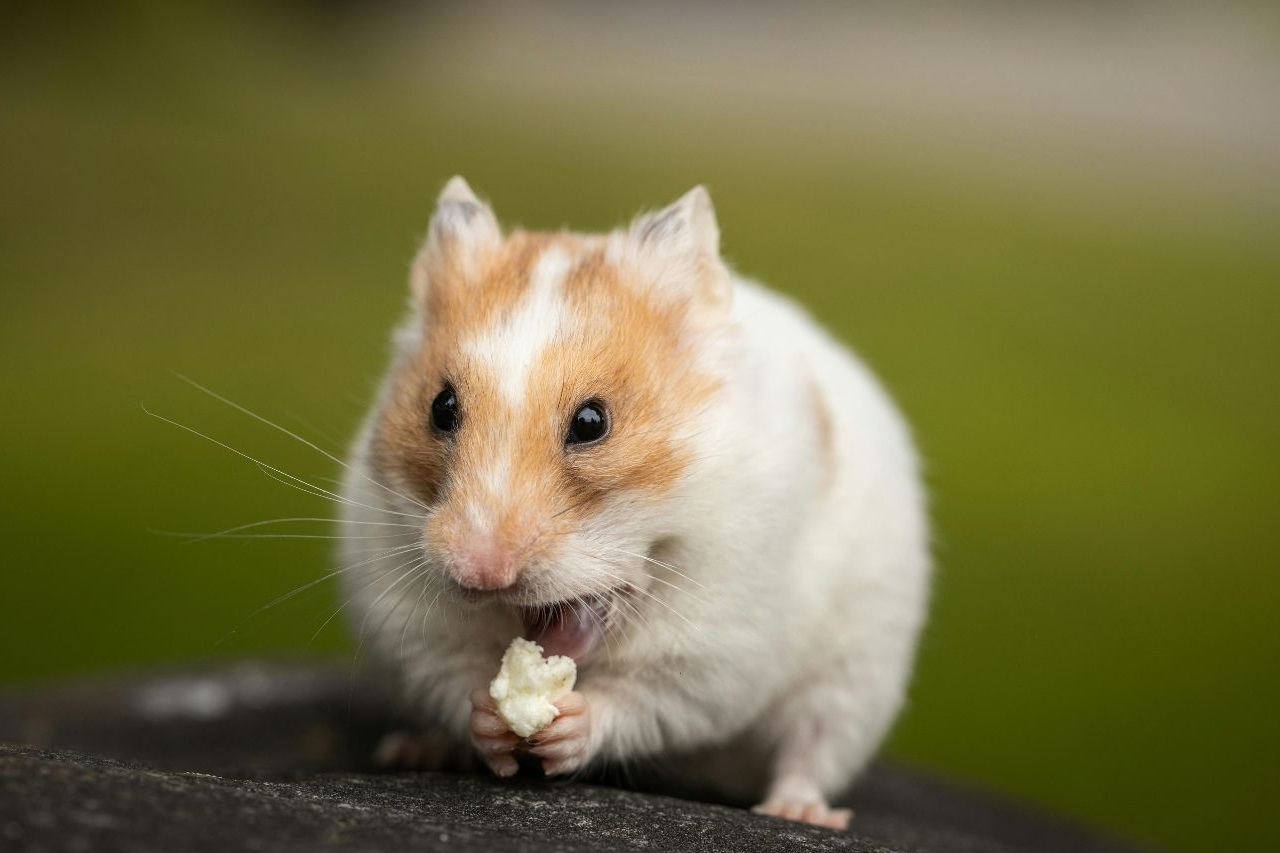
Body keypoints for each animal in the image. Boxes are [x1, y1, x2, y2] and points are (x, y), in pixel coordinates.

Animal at [338, 177, 930, 829]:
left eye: (592, 422)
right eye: (440, 407)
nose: (482, 574)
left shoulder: (713, 650)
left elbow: (640, 701)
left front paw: (565, 723)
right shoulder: (412, 622)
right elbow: (457, 679)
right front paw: (492, 720)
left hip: (856, 674)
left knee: (813, 747)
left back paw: (798, 811)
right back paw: (413, 749)